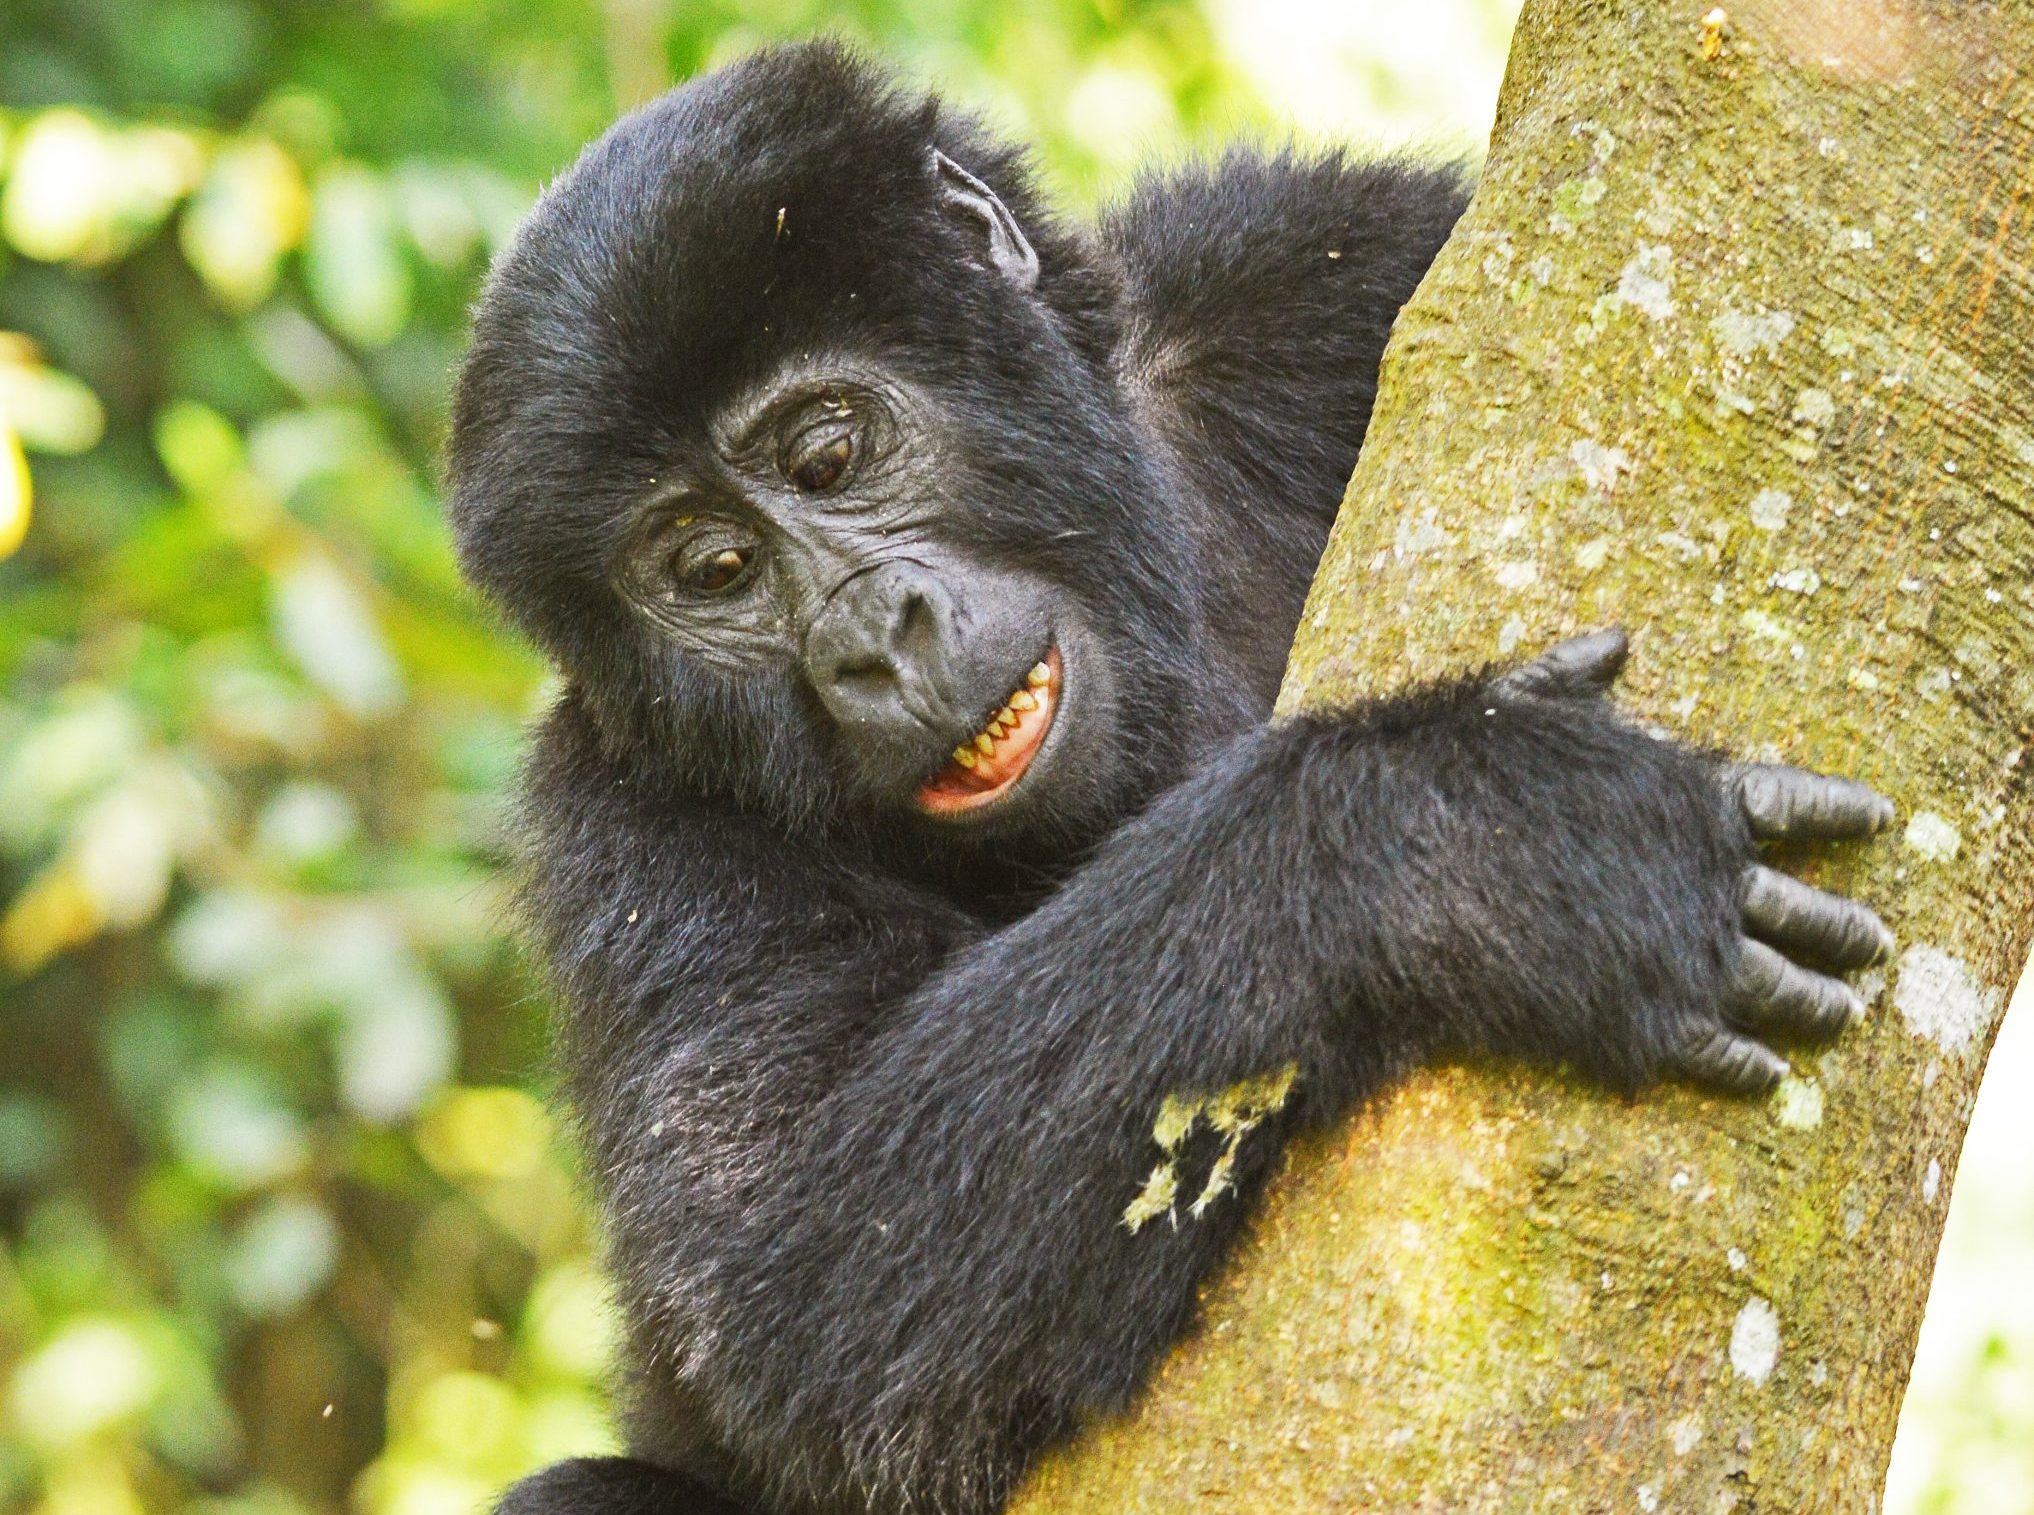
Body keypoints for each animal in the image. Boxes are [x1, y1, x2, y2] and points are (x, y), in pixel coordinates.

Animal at [446, 41, 1895, 1515]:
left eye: (826, 454)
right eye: (715, 569)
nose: (867, 642)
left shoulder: (1308, 263)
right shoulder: (625, 826)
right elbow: (801, 1296)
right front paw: (1497, 842)